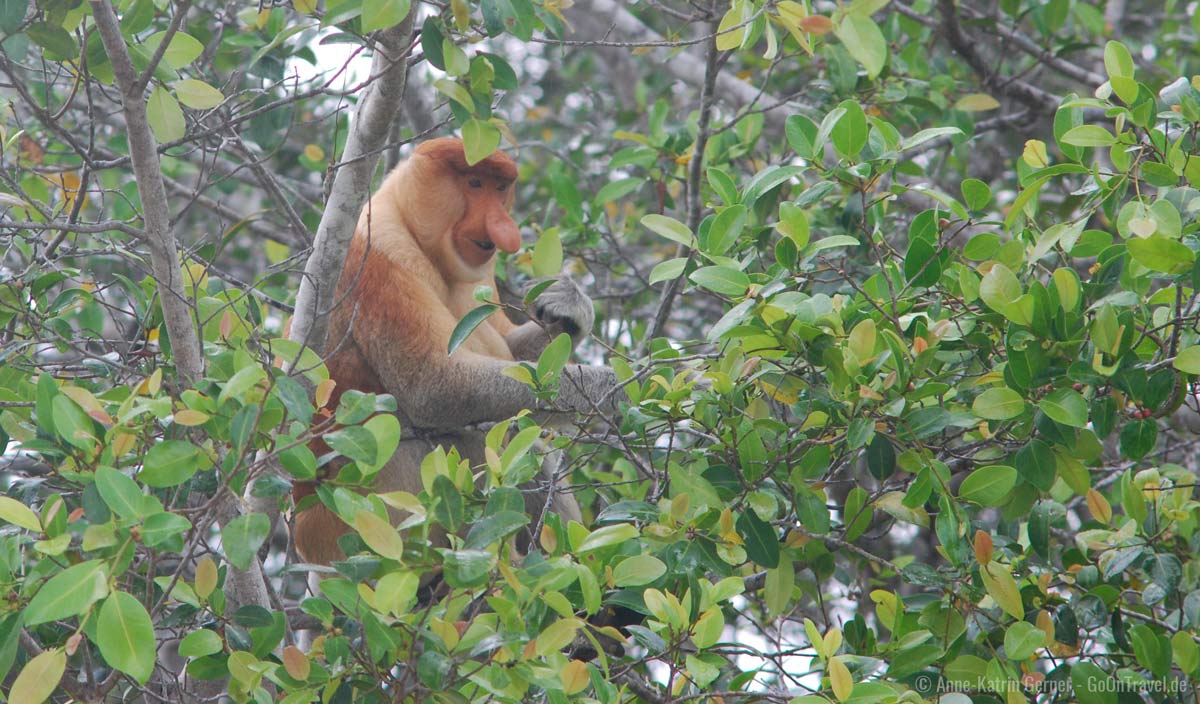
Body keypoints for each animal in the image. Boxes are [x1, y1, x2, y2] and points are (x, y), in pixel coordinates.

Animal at [292, 139, 619, 568]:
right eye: (474, 183)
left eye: (501, 188)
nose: (502, 227)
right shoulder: (375, 258)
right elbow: (434, 386)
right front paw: (608, 386)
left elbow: (514, 354)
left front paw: (566, 308)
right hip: (366, 514)